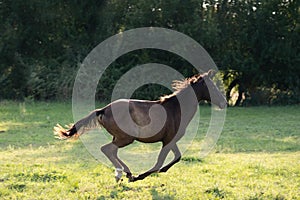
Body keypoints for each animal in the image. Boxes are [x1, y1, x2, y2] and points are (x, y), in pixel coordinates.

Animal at [54, 70, 227, 183]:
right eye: (213, 87)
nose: (224, 103)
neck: (176, 109)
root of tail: (103, 110)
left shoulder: (170, 140)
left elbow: (177, 157)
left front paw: (147, 173)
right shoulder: (168, 141)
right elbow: (160, 162)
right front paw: (141, 176)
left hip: (119, 137)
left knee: (112, 151)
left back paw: (126, 173)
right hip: (126, 138)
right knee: (107, 149)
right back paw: (124, 174)